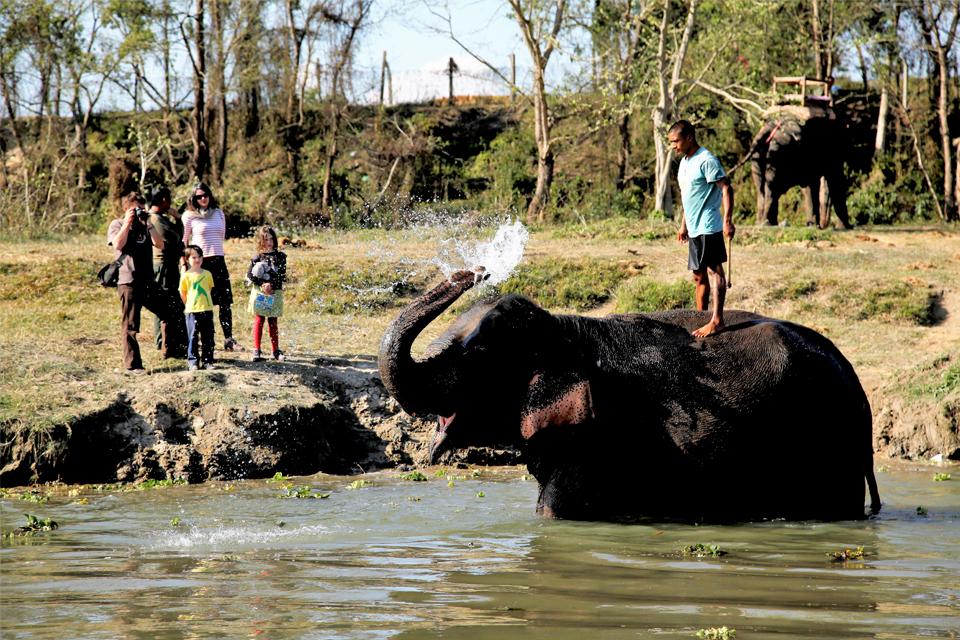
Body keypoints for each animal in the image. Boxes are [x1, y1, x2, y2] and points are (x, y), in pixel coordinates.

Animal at [378, 268, 880, 524]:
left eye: (478, 354)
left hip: (825, 444)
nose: (473, 271)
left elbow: (553, 512)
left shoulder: (599, 440)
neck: (565, 329)